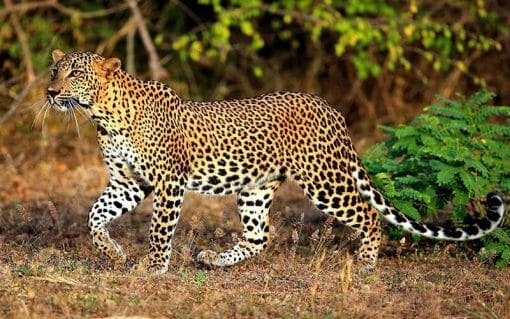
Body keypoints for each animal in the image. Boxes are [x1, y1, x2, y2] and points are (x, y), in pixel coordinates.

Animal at [45, 50, 504, 276]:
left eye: (75, 74)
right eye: (54, 70)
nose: (50, 92)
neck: (102, 114)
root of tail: (330, 108)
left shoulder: (168, 182)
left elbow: (159, 230)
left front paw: (153, 268)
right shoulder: (128, 182)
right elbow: (94, 216)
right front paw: (113, 254)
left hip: (325, 180)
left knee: (369, 216)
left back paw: (366, 264)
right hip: (255, 187)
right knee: (259, 236)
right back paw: (215, 260)